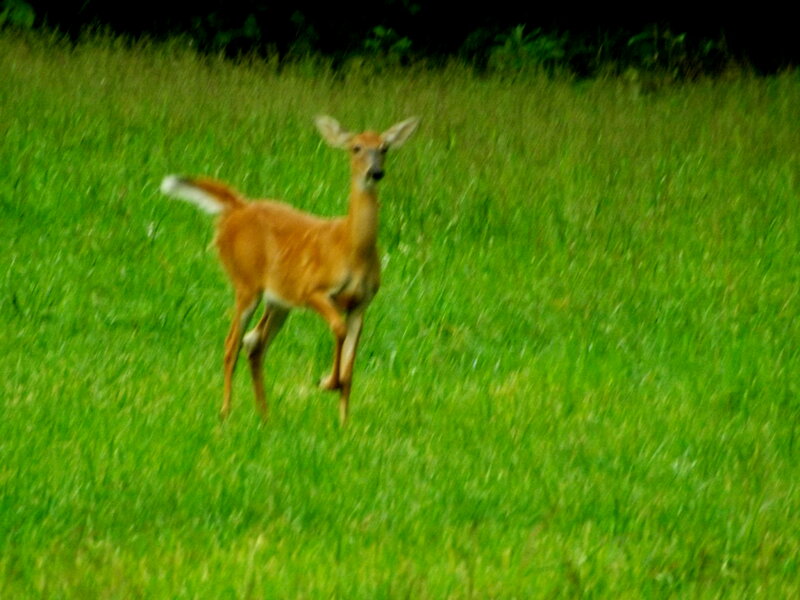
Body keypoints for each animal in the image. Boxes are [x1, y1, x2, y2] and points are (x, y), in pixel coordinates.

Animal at [160, 115, 419, 425]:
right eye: (356, 147)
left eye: (384, 148)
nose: (375, 172)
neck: (351, 249)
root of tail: (237, 208)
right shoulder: (313, 290)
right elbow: (339, 329)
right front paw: (327, 382)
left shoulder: (361, 303)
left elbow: (350, 367)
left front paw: (344, 423)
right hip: (246, 282)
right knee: (232, 343)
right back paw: (225, 412)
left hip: (278, 301)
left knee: (254, 343)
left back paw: (264, 415)